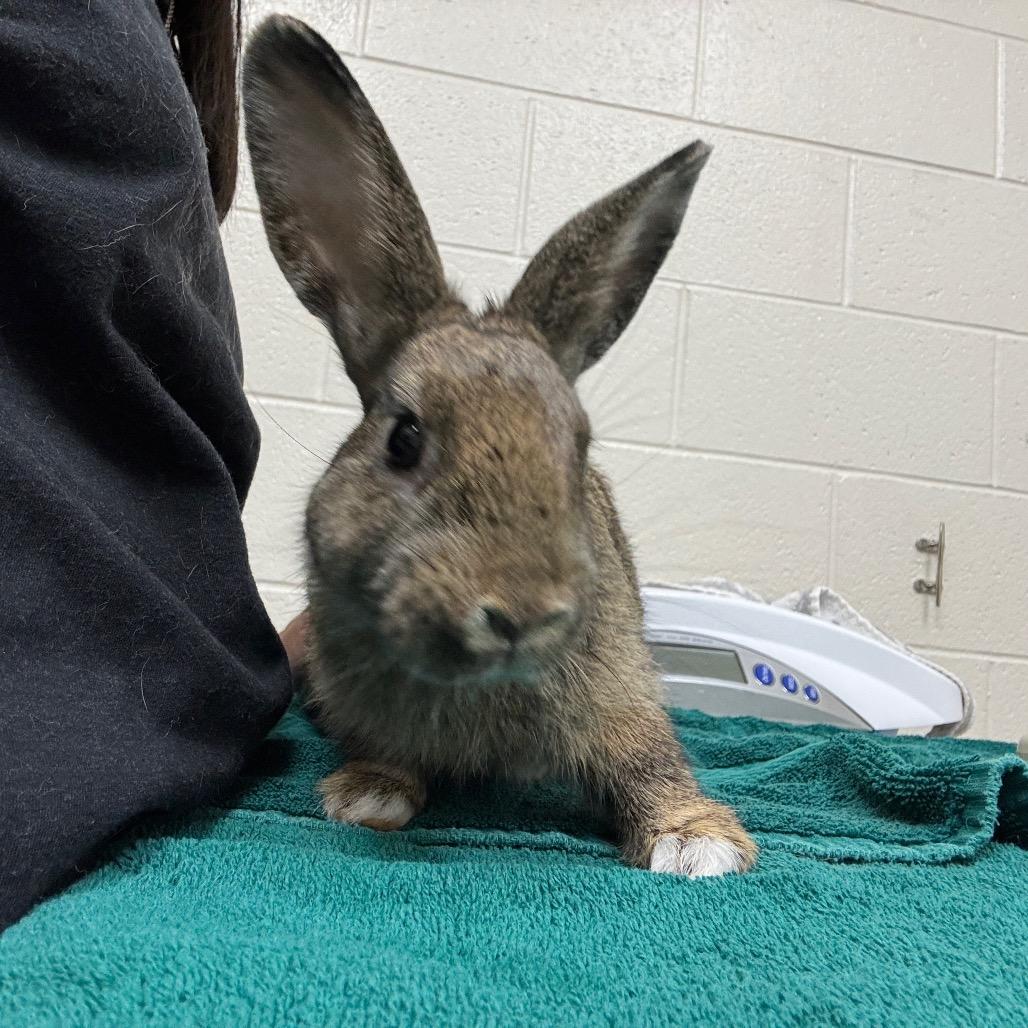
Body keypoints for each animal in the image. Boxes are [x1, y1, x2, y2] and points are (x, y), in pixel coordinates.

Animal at [242, 15, 757, 878]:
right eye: (404, 439)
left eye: (579, 451)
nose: (521, 612)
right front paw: (369, 795)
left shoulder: (621, 691)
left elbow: (647, 757)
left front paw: (698, 842)